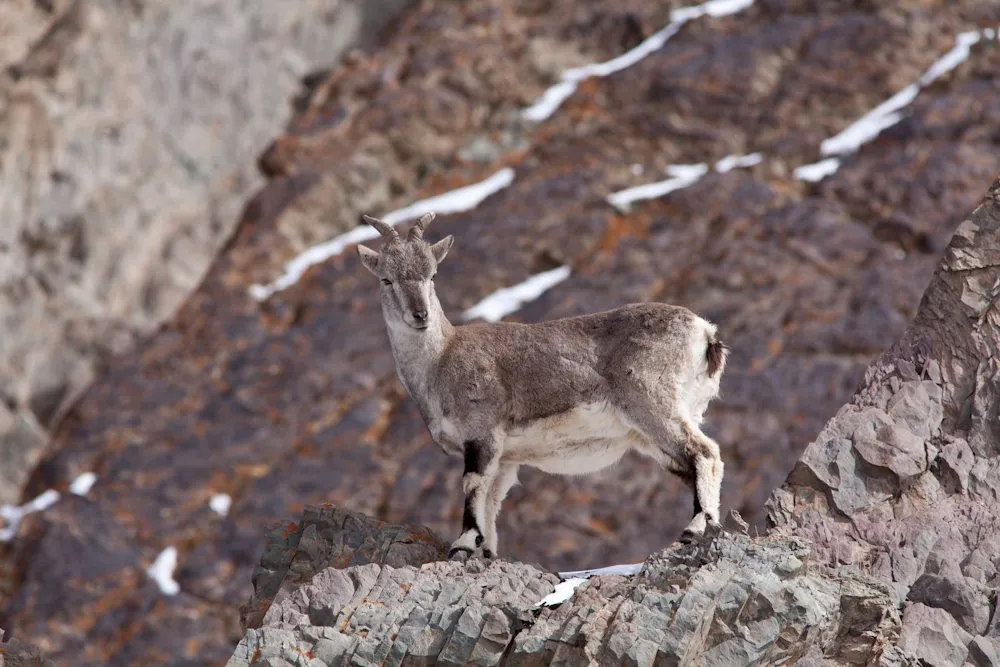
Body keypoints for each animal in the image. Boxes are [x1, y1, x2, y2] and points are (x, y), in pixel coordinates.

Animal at [357, 212, 728, 560]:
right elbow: (492, 499)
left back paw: (695, 528)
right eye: (386, 279)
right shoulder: (505, 457)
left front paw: (462, 544)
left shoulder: (481, 433)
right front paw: (486, 551)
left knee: (705, 452)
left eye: (432, 275)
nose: (420, 316)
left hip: (654, 404)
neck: (440, 360)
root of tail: (704, 332)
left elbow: (473, 484)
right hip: (653, 433)